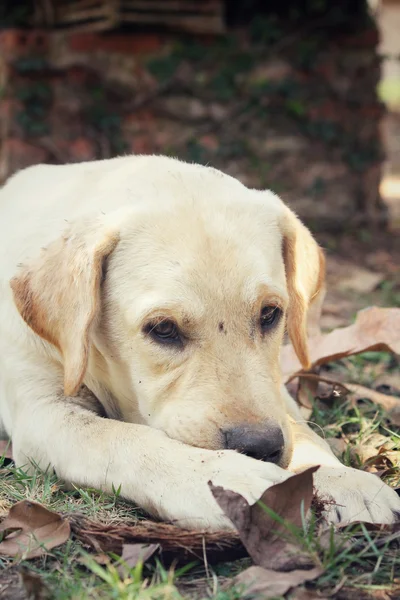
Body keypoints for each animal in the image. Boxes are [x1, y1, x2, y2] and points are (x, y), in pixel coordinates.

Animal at [0, 156, 398, 528]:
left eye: (270, 313)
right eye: (163, 328)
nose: (259, 447)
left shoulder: (273, 388)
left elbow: (298, 426)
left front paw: (343, 477)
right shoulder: (42, 413)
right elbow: (118, 437)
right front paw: (222, 477)